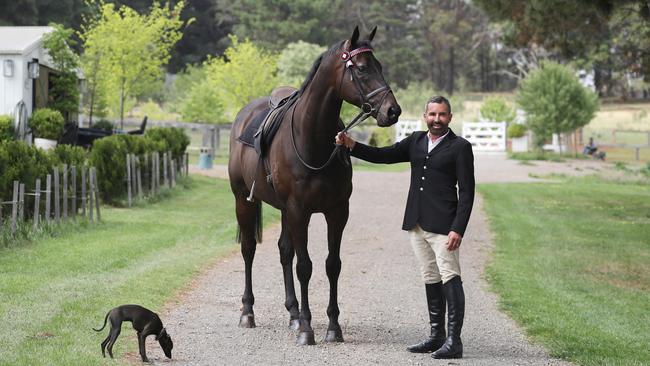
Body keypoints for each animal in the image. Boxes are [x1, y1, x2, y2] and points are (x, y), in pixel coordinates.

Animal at [228, 27, 400, 344]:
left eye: (380, 66)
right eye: (361, 68)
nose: (392, 110)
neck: (313, 139)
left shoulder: (337, 211)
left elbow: (332, 265)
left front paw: (332, 326)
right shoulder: (300, 211)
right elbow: (304, 266)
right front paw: (308, 329)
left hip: (284, 210)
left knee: (284, 251)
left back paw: (293, 314)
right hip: (243, 200)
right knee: (248, 249)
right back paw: (248, 312)